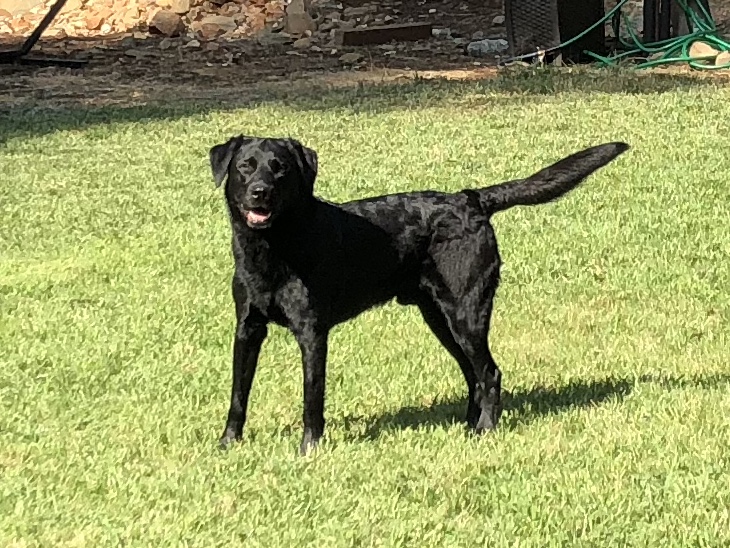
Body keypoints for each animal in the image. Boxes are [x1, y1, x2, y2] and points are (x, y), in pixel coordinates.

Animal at [209, 136, 624, 454]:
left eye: (280, 168)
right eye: (245, 166)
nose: (260, 192)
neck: (272, 247)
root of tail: (471, 199)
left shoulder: (312, 334)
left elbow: (312, 397)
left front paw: (309, 449)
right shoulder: (247, 329)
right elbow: (238, 395)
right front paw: (228, 443)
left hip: (467, 313)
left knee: (489, 373)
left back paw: (485, 430)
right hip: (440, 317)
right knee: (473, 375)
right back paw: (467, 426)